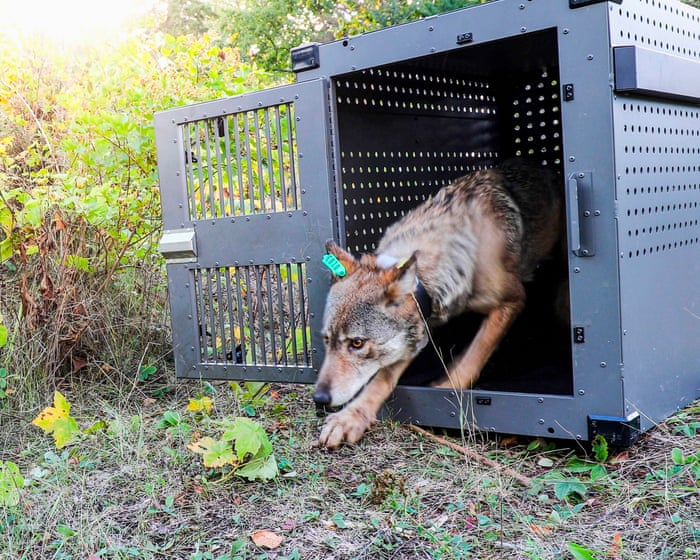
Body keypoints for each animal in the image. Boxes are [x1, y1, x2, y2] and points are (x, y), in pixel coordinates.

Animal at [313, 159, 563, 448]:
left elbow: (475, 354)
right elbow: (382, 378)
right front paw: (351, 417)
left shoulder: (513, 299)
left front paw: (446, 388)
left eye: (356, 343)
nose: (319, 399)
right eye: (327, 340)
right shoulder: (419, 327)